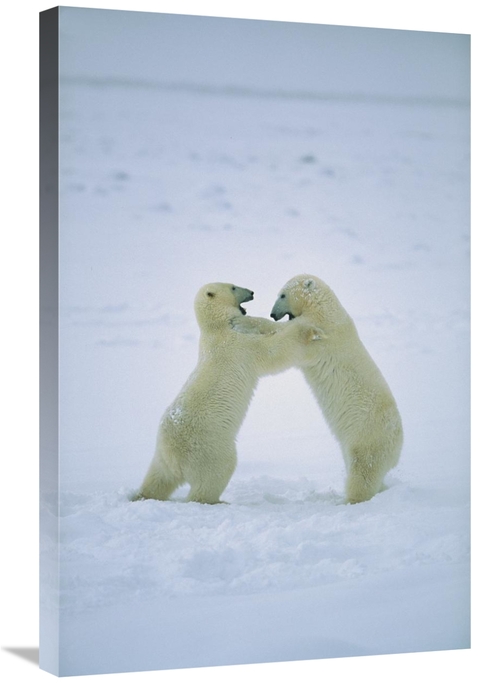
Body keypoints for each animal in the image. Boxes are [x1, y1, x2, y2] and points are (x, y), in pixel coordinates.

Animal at [133, 282, 324, 504]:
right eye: (233, 287)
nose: (251, 292)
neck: (217, 328)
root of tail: (174, 456)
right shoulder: (239, 345)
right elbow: (272, 352)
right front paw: (306, 330)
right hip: (209, 446)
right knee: (216, 472)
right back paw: (216, 500)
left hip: (161, 455)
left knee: (158, 478)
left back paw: (141, 495)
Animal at [270, 274, 403, 504]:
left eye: (283, 295)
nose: (272, 314)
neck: (326, 308)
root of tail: (398, 447)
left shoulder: (321, 332)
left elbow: (292, 343)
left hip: (367, 439)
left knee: (363, 473)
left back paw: (348, 500)